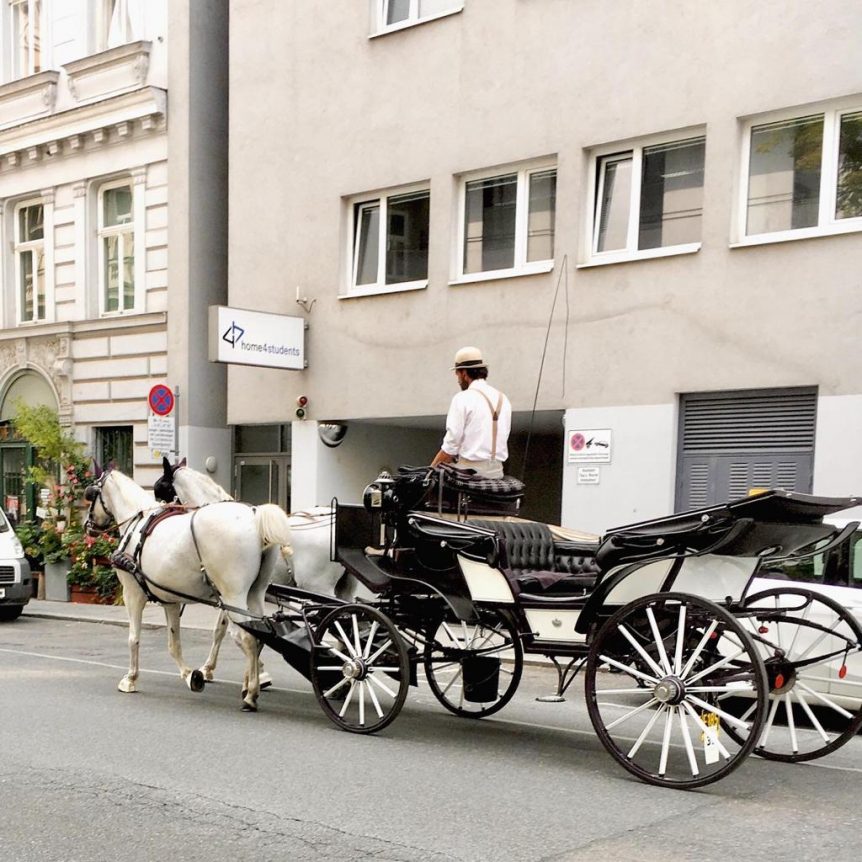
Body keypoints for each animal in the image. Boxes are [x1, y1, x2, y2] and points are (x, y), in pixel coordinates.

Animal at [85, 470, 294, 712]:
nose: (88, 525)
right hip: (255, 593)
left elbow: (133, 638)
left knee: (247, 638)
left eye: (91, 495)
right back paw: (252, 684)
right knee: (259, 636)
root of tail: (254, 514)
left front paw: (130, 679)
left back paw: (250, 695)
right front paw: (189, 675)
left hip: (233, 595)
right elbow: (174, 643)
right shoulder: (171, 601)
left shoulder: (132, 593)